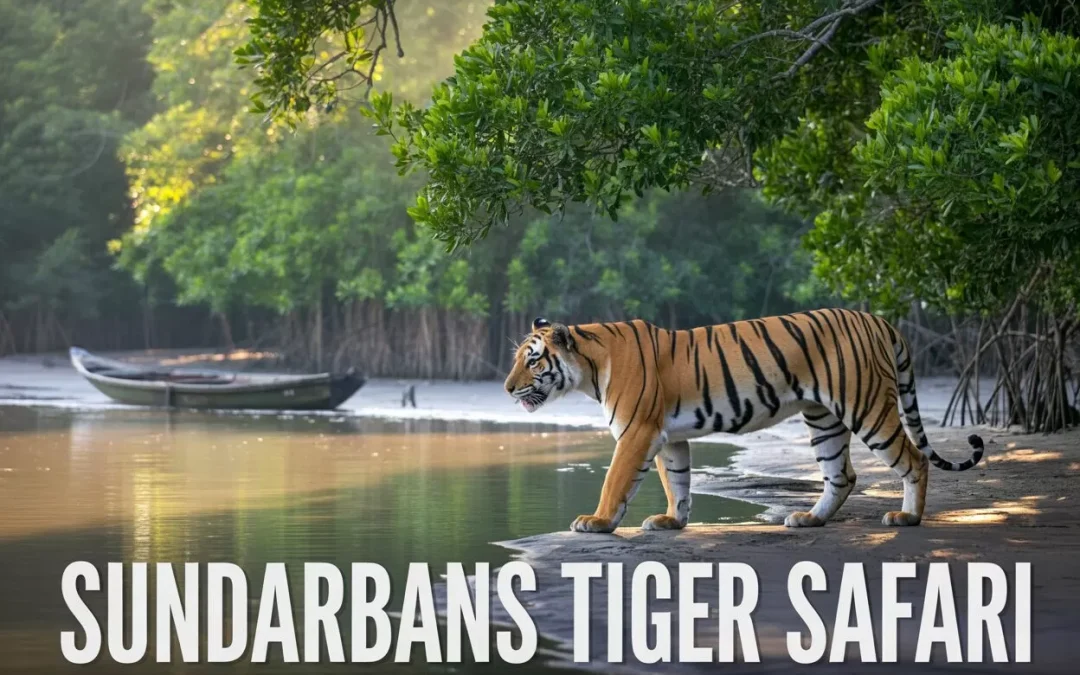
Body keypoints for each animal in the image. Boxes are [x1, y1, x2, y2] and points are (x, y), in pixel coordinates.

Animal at [503, 309, 985, 533]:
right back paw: (809, 518)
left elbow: (615, 481)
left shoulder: (636, 432)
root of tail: (880, 320)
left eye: (533, 360)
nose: (507, 389)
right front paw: (672, 522)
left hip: (867, 407)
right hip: (824, 418)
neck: (589, 367)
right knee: (842, 474)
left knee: (913, 459)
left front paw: (597, 521)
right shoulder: (669, 436)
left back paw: (907, 517)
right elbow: (676, 481)